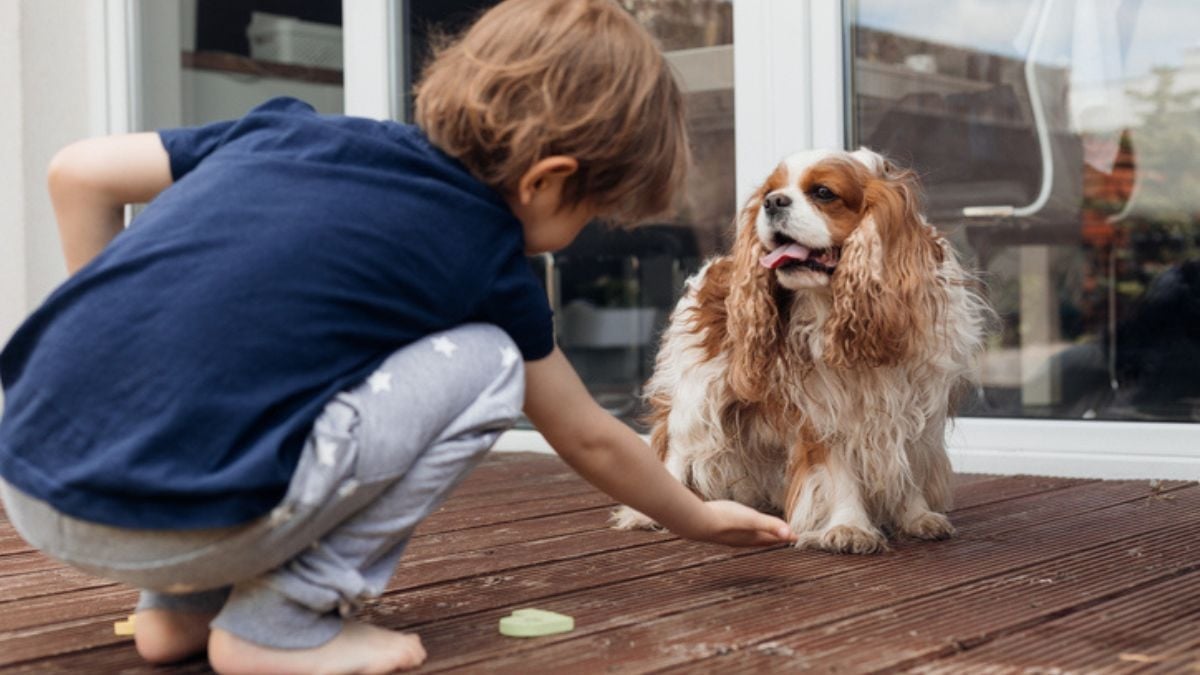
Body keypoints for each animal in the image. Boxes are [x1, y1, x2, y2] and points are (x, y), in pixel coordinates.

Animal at [614, 147, 988, 552]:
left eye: (823, 193)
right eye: (769, 192)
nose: (773, 202)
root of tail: (714, 268)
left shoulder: (916, 404)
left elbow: (906, 464)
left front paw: (916, 516)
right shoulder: (825, 410)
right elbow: (838, 469)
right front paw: (848, 527)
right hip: (699, 397)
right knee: (674, 449)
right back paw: (645, 514)